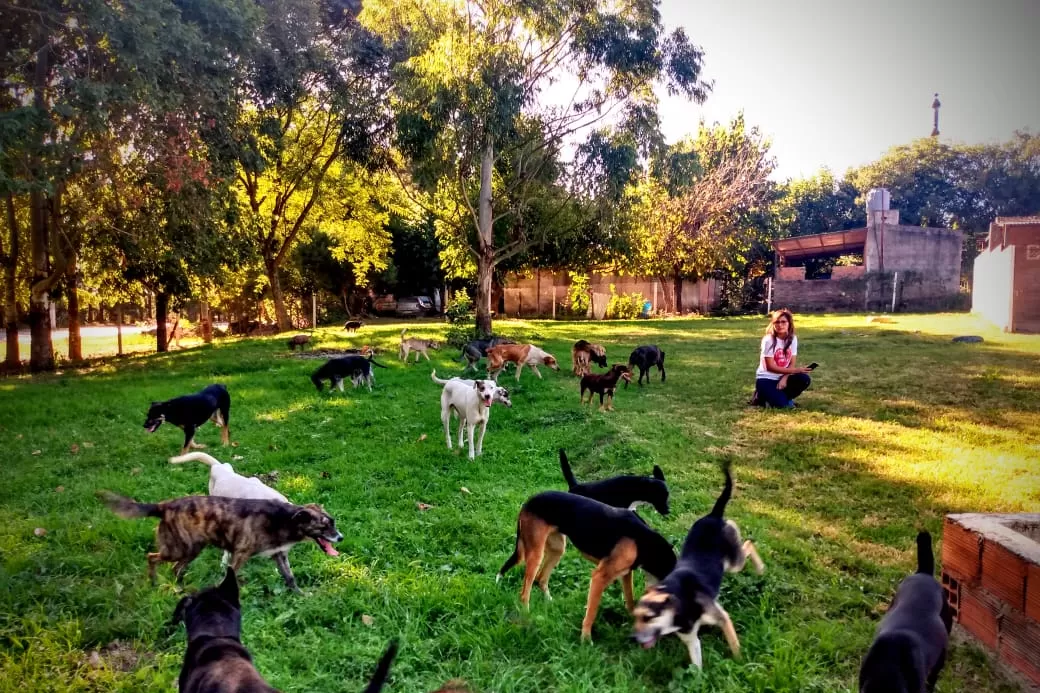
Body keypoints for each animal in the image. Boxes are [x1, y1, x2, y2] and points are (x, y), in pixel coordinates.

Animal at [98, 489, 341, 591]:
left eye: (333, 522)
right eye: (324, 526)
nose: (341, 537)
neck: (285, 519)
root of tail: (163, 506)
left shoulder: (279, 555)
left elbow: (290, 578)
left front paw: (300, 596)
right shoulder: (240, 554)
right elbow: (228, 577)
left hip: (191, 549)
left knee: (176, 569)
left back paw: (180, 588)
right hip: (179, 548)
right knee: (152, 557)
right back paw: (154, 582)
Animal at [499, 489, 678, 640]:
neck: (645, 542)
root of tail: (528, 502)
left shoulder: (626, 573)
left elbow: (630, 598)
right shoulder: (599, 577)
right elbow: (592, 611)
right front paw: (585, 639)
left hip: (557, 549)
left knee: (541, 578)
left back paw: (550, 601)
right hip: (536, 554)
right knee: (525, 591)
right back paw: (527, 614)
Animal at [624, 462, 765, 665]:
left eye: (648, 617)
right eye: (635, 617)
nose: (633, 638)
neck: (679, 603)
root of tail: (714, 515)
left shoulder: (722, 618)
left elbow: (734, 645)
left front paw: (740, 662)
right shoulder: (690, 637)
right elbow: (697, 665)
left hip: (734, 562)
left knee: (748, 544)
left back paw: (760, 568)